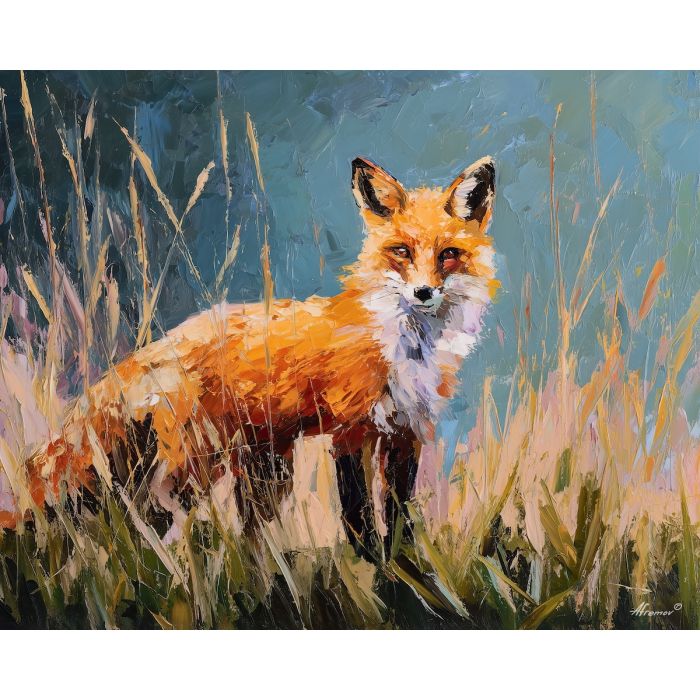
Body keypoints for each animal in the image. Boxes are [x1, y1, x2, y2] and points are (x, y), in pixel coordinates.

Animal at [17, 154, 497, 554]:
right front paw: (370, 564)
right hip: (195, 467)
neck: (403, 350)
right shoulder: (350, 432)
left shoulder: (407, 432)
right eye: (401, 251)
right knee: (144, 515)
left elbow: (400, 514)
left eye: (448, 254)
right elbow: (358, 514)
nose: (424, 292)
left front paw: (404, 564)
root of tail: (159, 345)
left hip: (262, 471)